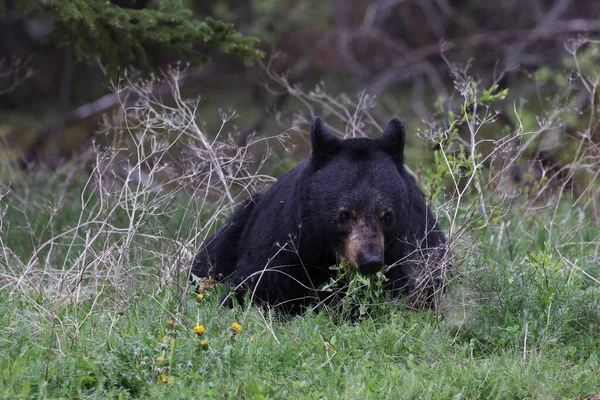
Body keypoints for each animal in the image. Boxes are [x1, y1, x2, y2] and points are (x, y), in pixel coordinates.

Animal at [191, 117, 446, 314]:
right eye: (344, 215)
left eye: (387, 216)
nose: (370, 260)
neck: (325, 252)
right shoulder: (283, 242)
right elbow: (253, 287)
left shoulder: (415, 247)